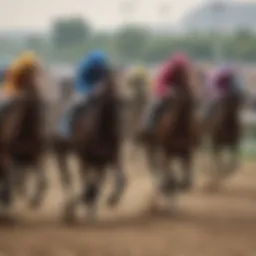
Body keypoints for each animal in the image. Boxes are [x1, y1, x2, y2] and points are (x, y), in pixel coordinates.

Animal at [52, 70, 126, 220]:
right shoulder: (84, 156)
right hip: (61, 152)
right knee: (67, 177)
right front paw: (85, 202)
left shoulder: (108, 158)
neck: (102, 128)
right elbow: (88, 183)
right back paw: (70, 206)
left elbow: (119, 179)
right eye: (111, 83)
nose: (124, 99)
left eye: (124, 79)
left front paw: (109, 200)